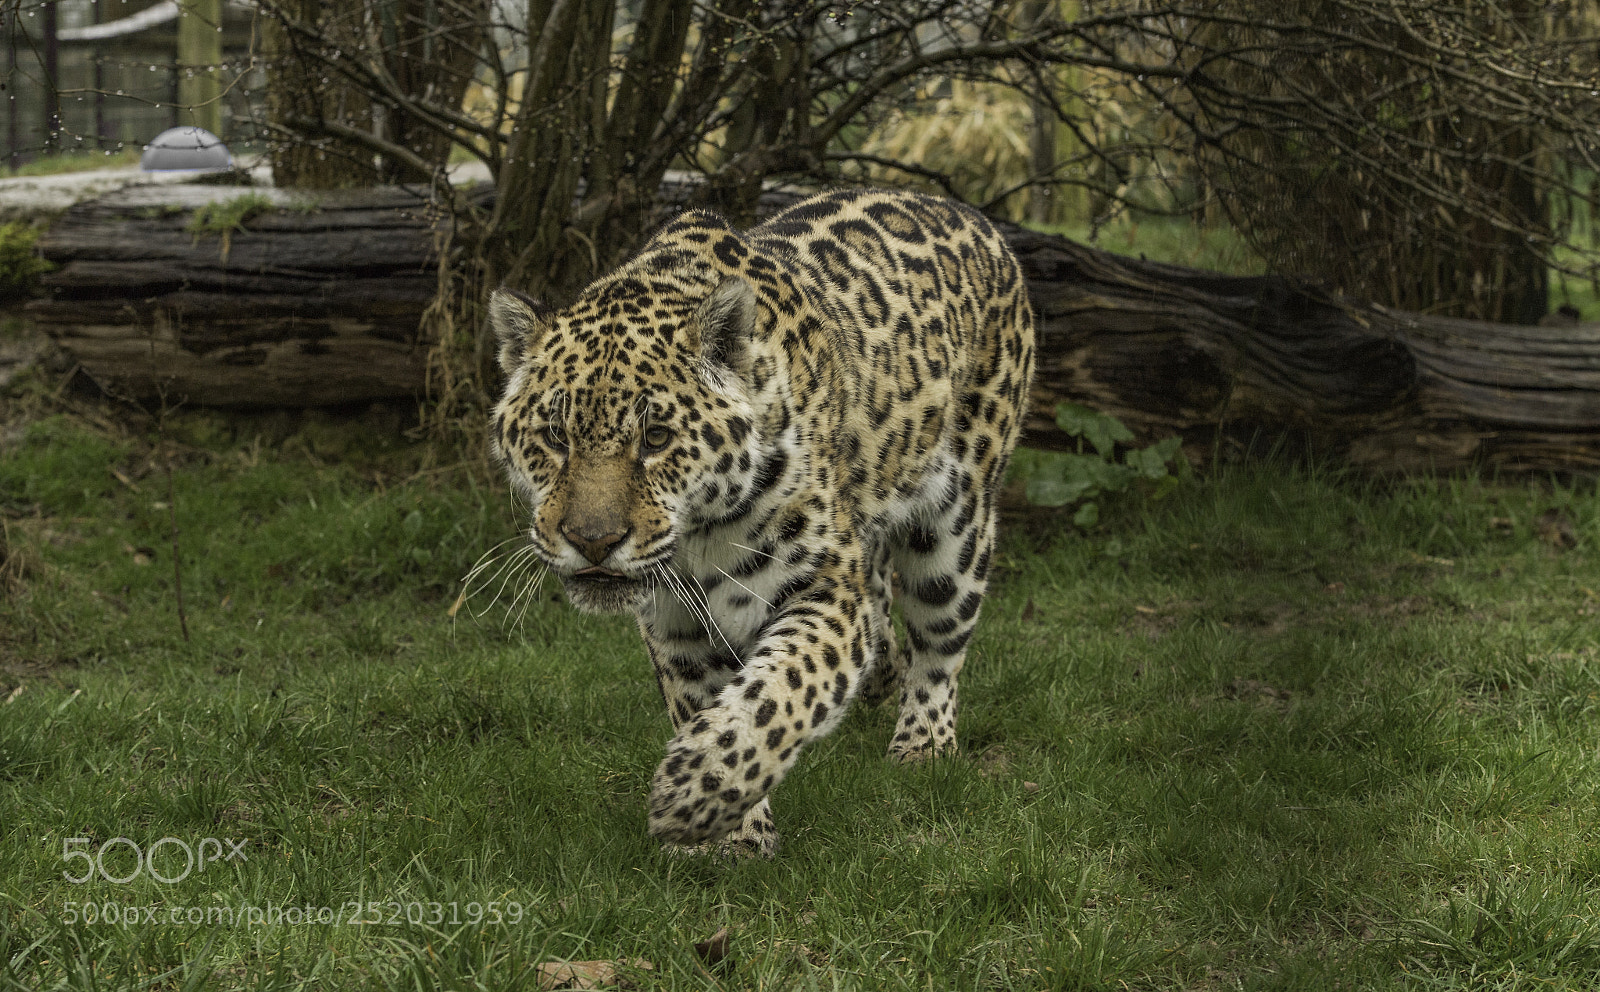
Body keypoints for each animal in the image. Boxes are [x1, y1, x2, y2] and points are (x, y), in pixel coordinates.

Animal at [487, 187, 1035, 855]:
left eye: (656, 438)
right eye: (554, 436)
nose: (593, 542)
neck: (698, 537)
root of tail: (972, 215)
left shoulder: (826, 590)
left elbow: (780, 690)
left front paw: (693, 792)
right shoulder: (675, 626)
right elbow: (706, 703)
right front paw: (734, 830)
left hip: (956, 528)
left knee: (939, 643)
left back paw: (923, 746)